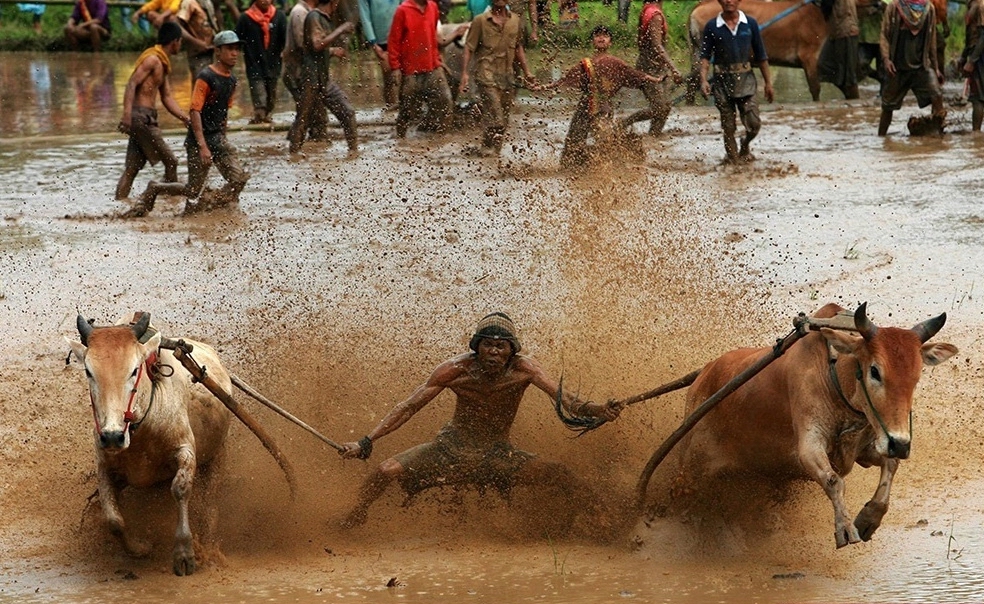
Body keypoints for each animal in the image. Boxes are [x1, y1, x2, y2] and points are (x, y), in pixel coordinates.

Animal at [676, 304, 952, 544]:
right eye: (875, 371)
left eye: (915, 377)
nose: (901, 444)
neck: (835, 375)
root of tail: (703, 374)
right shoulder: (809, 447)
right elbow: (833, 480)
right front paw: (845, 529)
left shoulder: (866, 449)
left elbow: (890, 465)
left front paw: (868, 520)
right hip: (691, 470)